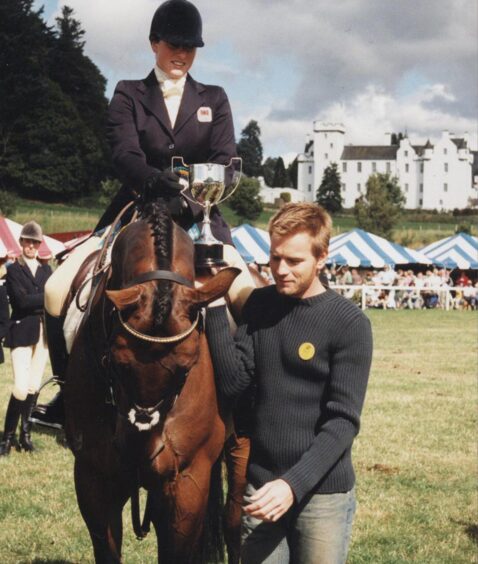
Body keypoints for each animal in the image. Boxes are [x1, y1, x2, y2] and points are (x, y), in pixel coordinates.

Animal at [64, 199, 239, 564]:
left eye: (188, 366)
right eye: (116, 363)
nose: (139, 453)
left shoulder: (187, 482)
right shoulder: (93, 478)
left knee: (233, 521)